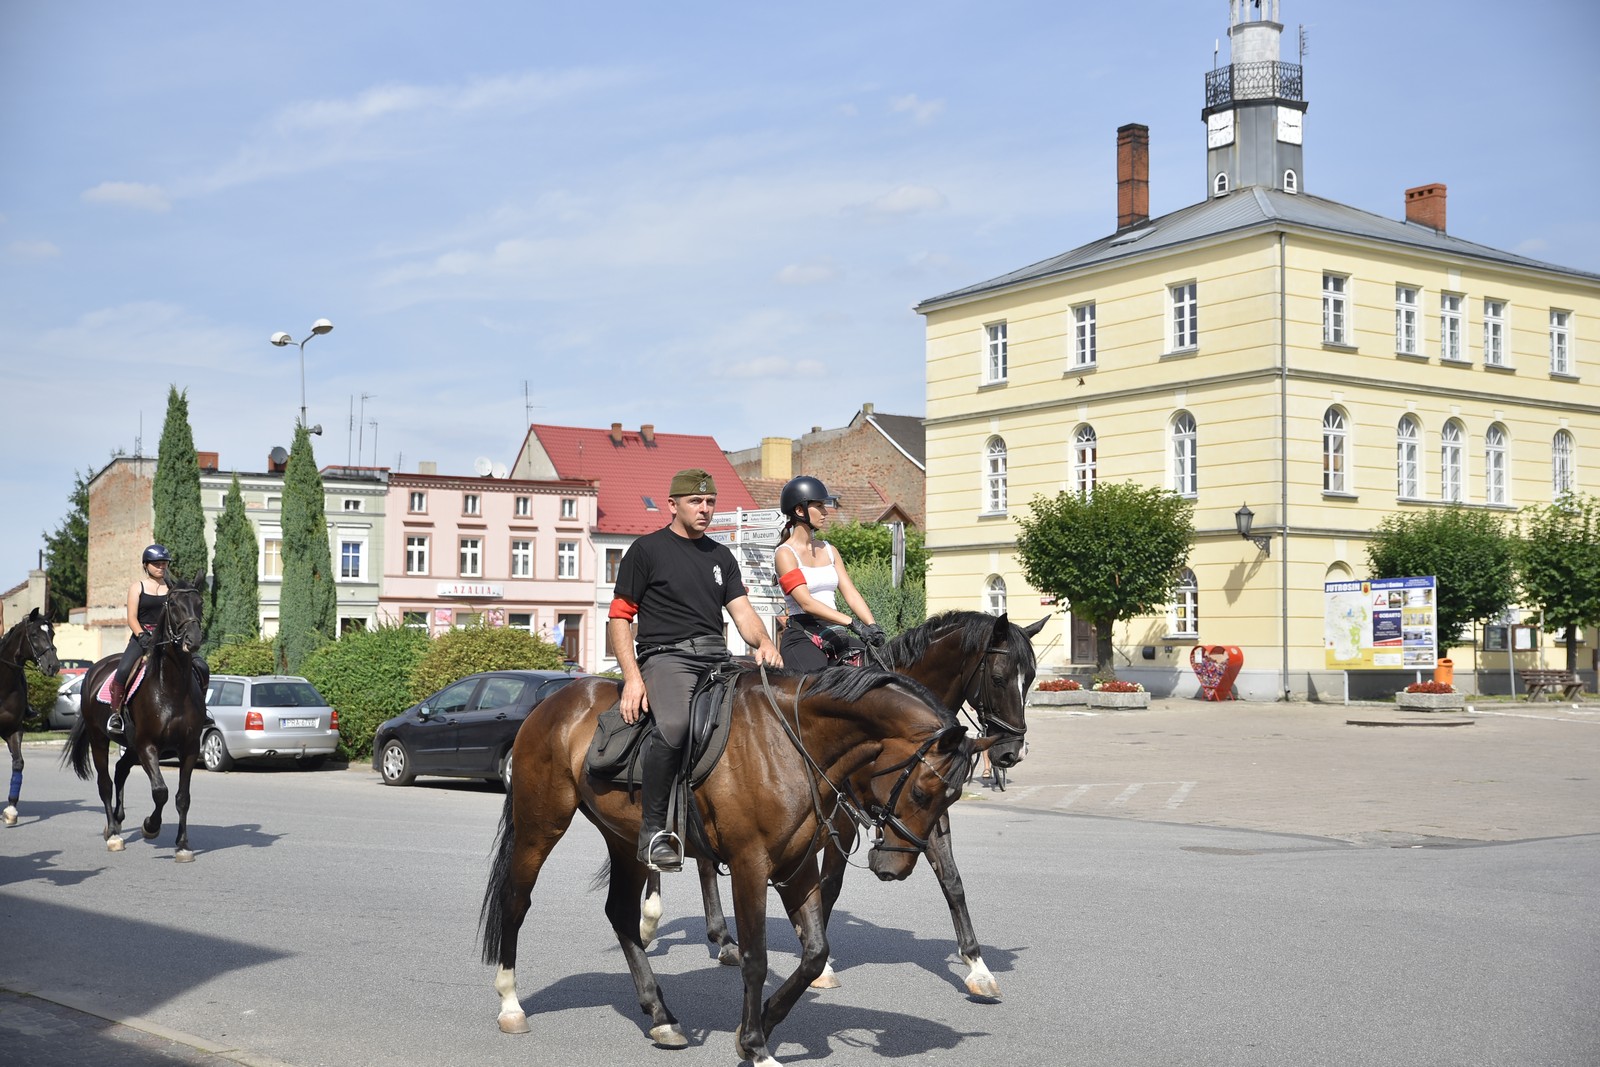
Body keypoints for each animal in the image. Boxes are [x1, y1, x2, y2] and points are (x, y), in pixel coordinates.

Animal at [0, 607, 60, 825]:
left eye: (52, 633)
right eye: (34, 635)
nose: (53, 666)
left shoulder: (13, 730)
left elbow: (18, 763)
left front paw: (11, 810)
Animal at [64, 579, 206, 863]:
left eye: (200, 603)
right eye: (173, 604)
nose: (193, 640)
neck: (171, 687)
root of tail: (94, 670)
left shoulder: (189, 748)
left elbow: (182, 797)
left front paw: (183, 845)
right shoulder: (147, 745)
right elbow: (160, 791)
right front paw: (150, 826)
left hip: (130, 746)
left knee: (120, 770)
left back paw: (117, 821)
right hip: (100, 740)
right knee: (105, 783)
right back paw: (114, 835)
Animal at [480, 662, 992, 1062]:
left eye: (952, 798)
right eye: (923, 791)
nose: (895, 867)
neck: (793, 743)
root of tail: (556, 699)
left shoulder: (797, 868)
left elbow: (814, 953)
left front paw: (764, 1021)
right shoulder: (751, 866)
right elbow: (755, 959)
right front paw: (756, 1045)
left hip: (626, 840)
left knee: (621, 913)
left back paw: (660, 1015)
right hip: (540, 825)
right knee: (515, 902)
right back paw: (510, 1003)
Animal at [649, 614, 1049, 998]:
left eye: (1030, 679)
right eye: (998, 678)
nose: (1011, 752)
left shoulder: (926, 814)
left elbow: (952, 881)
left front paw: (977, 966)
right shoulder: (842, 819)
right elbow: (829, 884)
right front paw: (821, 966)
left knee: (703, 860)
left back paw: (721, 937)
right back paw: (654, 915)